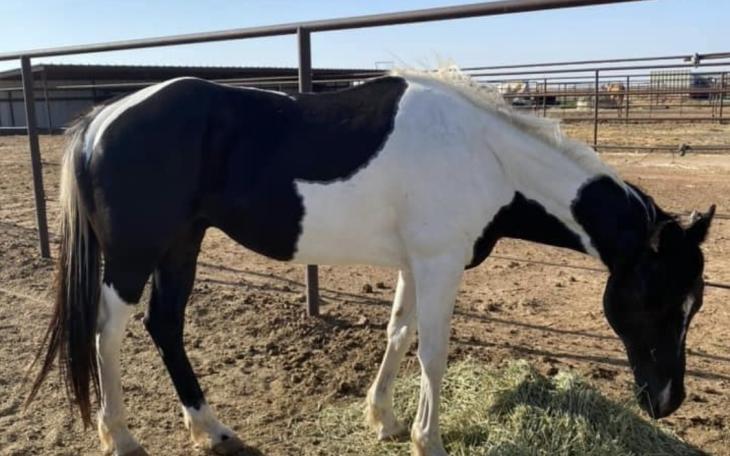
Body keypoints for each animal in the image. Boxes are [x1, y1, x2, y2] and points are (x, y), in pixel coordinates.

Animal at [26, 68, 714, 456]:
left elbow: (398, 333)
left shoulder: (418, 262)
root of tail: (101, 119)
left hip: (181, 244)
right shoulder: (439, 264)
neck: (486, 155)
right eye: (654, 298)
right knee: (109, 332)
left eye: (694, 304)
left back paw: (211, 431)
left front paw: (382, 419)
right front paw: (427, 440)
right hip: (135, 255)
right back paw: (120, 437)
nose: (667, 400)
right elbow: (432, 351)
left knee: (164, 325)